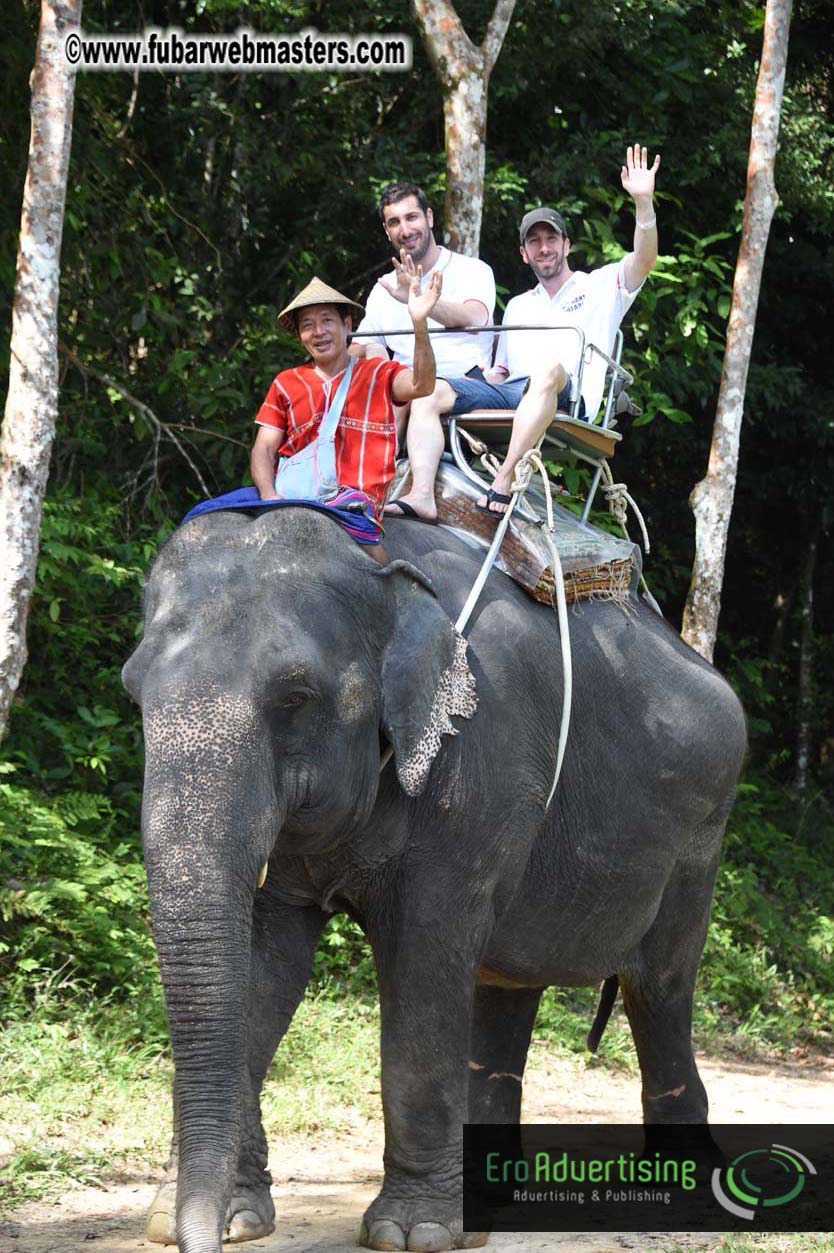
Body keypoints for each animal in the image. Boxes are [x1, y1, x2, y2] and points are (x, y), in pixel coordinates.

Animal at [122, 503, 746, 1253]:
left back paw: (683, 1193)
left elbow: (424, 957)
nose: (194, 1236)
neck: (376, 561)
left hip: (699, 837)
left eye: (295, 696)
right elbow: (265, 966)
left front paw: (412, 1232)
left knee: (659, 986)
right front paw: (224, 1219)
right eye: (134, 693)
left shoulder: (478, 767)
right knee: (512, 977)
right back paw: (489, 1200)